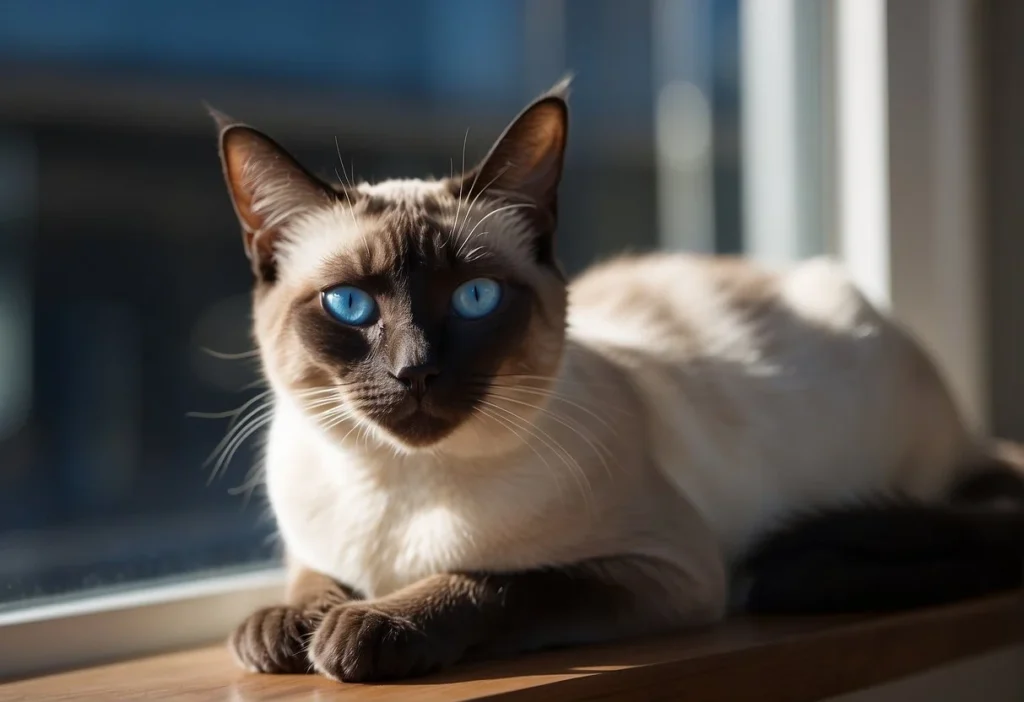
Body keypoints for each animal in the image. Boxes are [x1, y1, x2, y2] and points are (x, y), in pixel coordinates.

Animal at [211, 79, 1019, 683]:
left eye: (475, 297)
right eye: (350, 305)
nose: (417, 370)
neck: (401, 487)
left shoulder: (668, 571)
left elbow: (502, 582)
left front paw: (367, 629)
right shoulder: (311, 542)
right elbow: (312, 576)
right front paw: (285, 630)